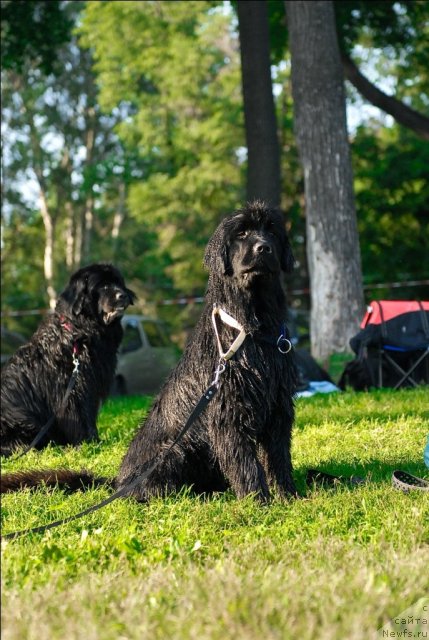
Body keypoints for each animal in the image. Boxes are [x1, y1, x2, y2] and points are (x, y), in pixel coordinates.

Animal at [0, 262, 134, 458]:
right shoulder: (72, 390)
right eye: (103, 286)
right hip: (23, 420)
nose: (122, 295)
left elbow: (89, 415)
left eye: (118, 282)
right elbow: (79, 417)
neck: (78, 334)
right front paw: (89, 443)